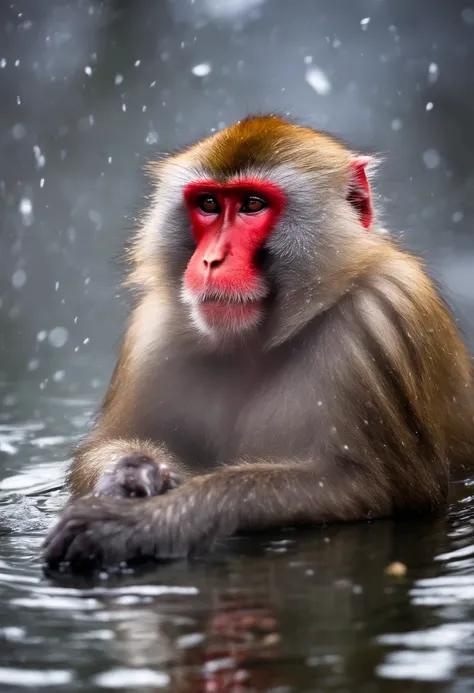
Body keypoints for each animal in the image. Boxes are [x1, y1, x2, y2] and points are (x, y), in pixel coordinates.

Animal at [41, 115, 474, 572]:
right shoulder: (153, 333)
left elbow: (378, 489)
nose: (211, 260)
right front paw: (132, 474)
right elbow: (105, 446)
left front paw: (143, 522)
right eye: (209, 204)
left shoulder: (382, 316)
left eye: (252, 204)